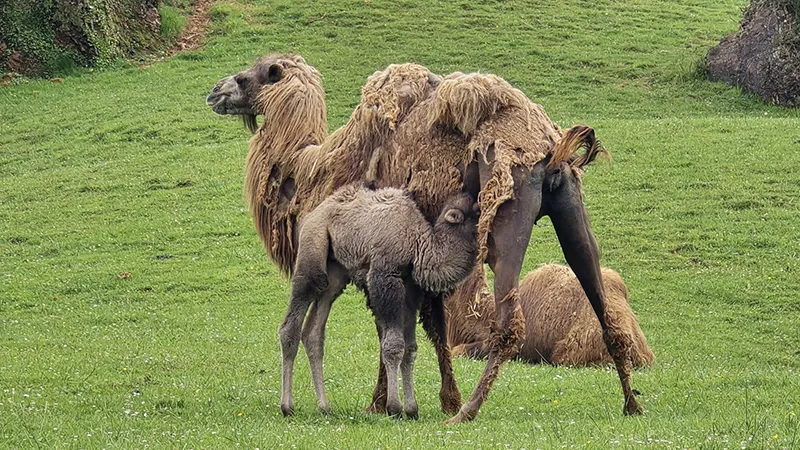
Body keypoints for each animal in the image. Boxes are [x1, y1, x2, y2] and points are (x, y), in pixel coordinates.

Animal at [286, 184, 478, 418]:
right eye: (476, 211)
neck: (417, 243)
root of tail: (311, 215)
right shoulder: (384, 277)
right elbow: (393, 345)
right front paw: (394, 407)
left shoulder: (410, 290)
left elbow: (410, 348)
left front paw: (411, 409)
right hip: (312, 247)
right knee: (292, 321)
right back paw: (287, 406)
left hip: (335, 273)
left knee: (314, 332)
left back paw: (324, 407)